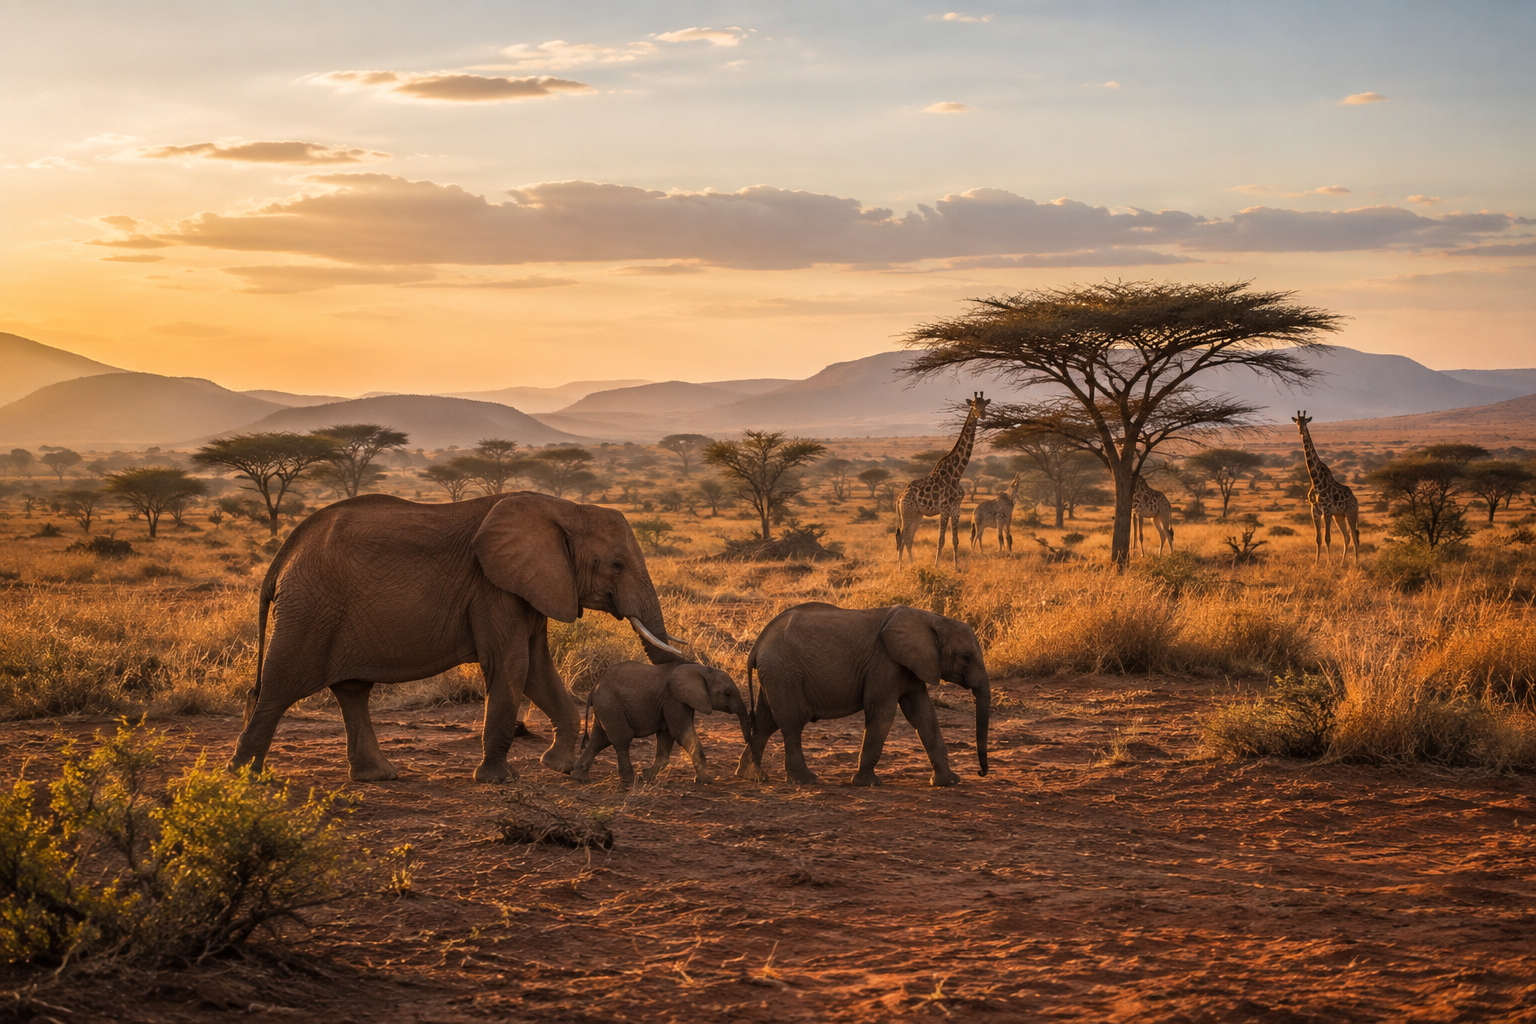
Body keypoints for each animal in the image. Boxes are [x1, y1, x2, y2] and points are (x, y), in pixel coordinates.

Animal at [896, 392, 990, 566]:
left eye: (985, 405)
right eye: (974, 405)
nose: (982, 415)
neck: (956, 474)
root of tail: (900, 497)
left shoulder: (956, 509)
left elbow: (955, 540)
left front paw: (957, 566)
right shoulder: (945, 508)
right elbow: (941, 540)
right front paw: (936, 565)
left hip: (917, 515)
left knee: (909, 538)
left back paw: (912, 564)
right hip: (907, 513)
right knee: (903, 537)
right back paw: (900, 567)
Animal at [1292, 410, 1360, 566]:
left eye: (1306, 422)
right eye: (1297, 422)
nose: (1301, 430)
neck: (1316, 481)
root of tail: (1356, 499)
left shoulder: (1327, 511)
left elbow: (1327, 538)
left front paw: (1328, 563)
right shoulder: (1315, 511)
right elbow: (1318, 539)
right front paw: (1316, 563)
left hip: (1351, 513)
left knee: (1355, 536)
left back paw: (1356, 563)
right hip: (1339, 516)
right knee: (1347, 537)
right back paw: (1342, 563)